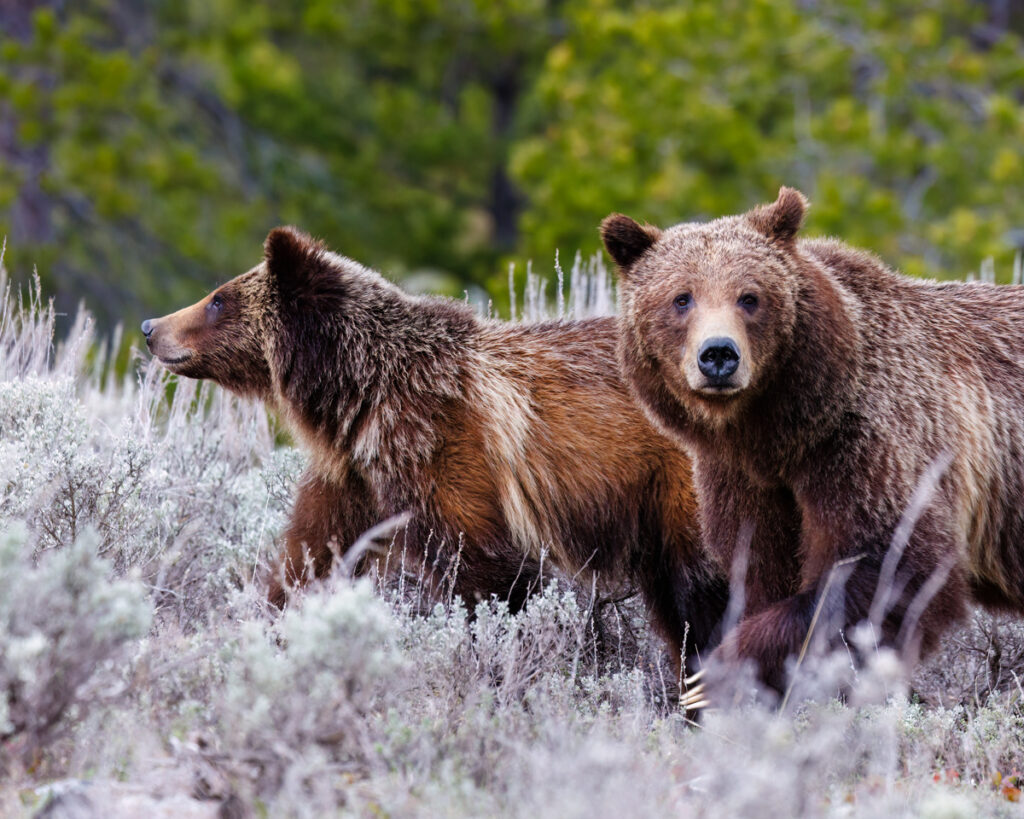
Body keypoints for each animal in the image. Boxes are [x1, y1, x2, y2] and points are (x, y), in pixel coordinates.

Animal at [142, 227, 729, 667]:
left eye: (219, 299)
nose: (152, 326)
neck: (359, 398)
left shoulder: (446, 452)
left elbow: (489, 576)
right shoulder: (355, 476)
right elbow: (308, 558)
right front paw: (266, 628)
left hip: (680, 492)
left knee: (702, 592)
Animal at [602, 188, 1024, 696]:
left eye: (749, 296)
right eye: (681, 298)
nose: (718, 355)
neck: (780, 431)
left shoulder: (866, 441)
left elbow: (886, 564)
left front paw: (723, 671)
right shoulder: (742, 477)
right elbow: (757, 565)